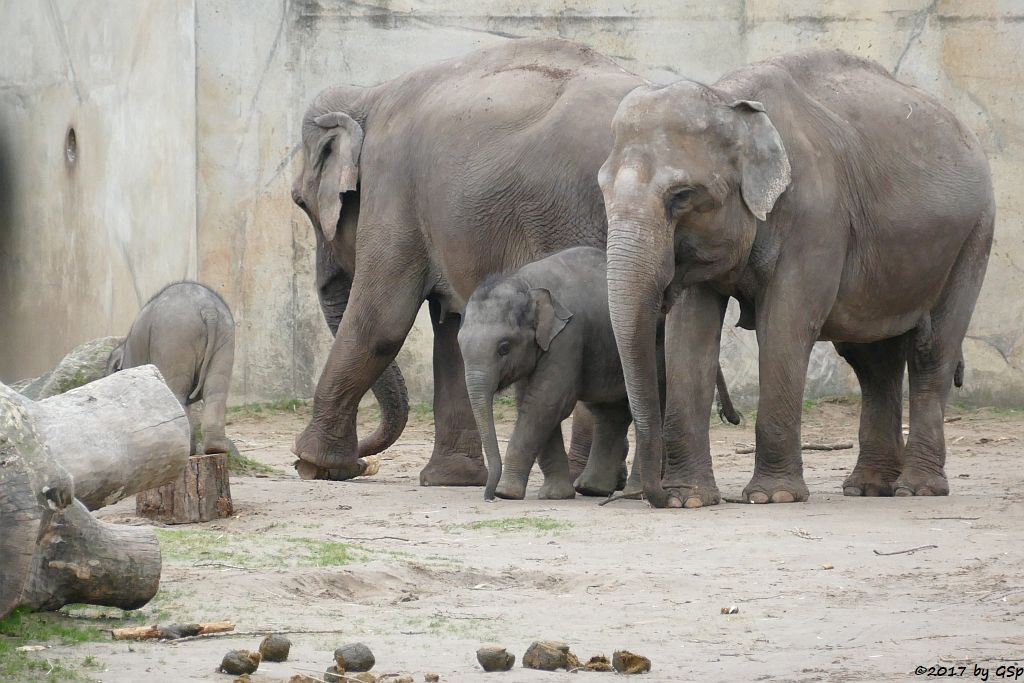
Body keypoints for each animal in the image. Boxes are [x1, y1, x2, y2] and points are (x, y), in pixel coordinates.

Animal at [108, 280, 235, 456]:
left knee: (177, 391)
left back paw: (189, 450)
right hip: (225, 337)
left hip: (174, 337)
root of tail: (208, 309)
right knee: (216, 389)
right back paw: (215, 448)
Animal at [288, 38, 643, 485]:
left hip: (581, 214)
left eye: (300, 202)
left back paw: (586, 479)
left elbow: (382, 321)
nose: (363, 463)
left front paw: (312, 464)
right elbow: (453, 332)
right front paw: (450, 478)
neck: (367, 93)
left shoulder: (393, 187)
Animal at [458, 248, 737, 499]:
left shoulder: (568, 337)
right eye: (460, 344)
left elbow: (546, 403)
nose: (489, 496)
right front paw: (555, 495)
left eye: (504, 348)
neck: (524, 281)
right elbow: (534, 404)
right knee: (610, 413)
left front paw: (507, 493)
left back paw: (633, 493)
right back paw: (592, 489)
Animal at [598, 48, 991, 507]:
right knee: (873, 360)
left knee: (932, 351)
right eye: (602, 190)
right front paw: (689, 498)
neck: (729, 99)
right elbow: (689, 334)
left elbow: (786, 325)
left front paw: (773, 497)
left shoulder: (816, 217)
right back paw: (869, 487)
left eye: (681, 196)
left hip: (973, 237)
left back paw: (917, 488)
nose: (653, 494)